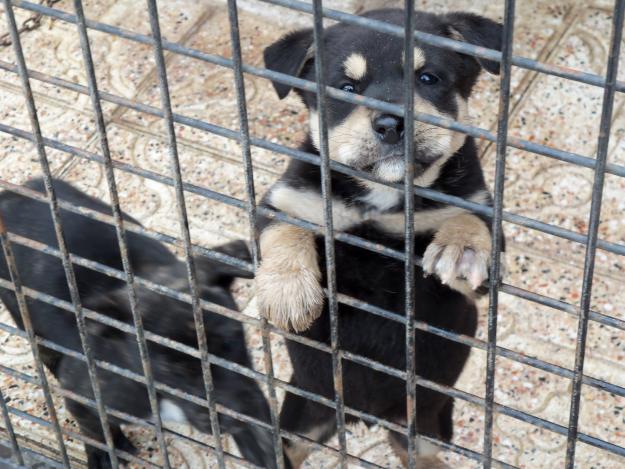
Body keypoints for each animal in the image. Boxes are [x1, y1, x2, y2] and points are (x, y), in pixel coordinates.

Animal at [0, 178, 278, 468]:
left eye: (233, 341)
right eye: (171, 371)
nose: (241, 412)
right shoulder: (84, 396)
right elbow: (95, 430)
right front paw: (104, 452)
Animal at [256, 8, 504, 468]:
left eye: (428, 78)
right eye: (347, 88)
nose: (391, 123)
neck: (384, 197)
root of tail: (367, 418)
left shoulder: (478, 258)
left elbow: (471, 220)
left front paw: (460, 248)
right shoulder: (285, 198)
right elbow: (286, 229)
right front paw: (287, 291)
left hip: (425, 423)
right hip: (302, 414)